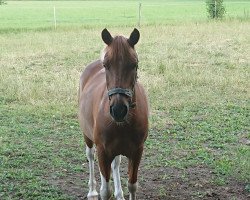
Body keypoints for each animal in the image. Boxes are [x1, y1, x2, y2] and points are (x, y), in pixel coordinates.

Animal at [78, 28, 148, 200]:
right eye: (106, 65)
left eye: (134, 64)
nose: (118, 110)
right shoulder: (103, 152)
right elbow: (105, 191)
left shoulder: (137, 151)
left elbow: (132, 185)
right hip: (87, 137)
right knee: (90, 156)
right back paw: (92, 191)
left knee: (116, 164)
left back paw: (119, 193)